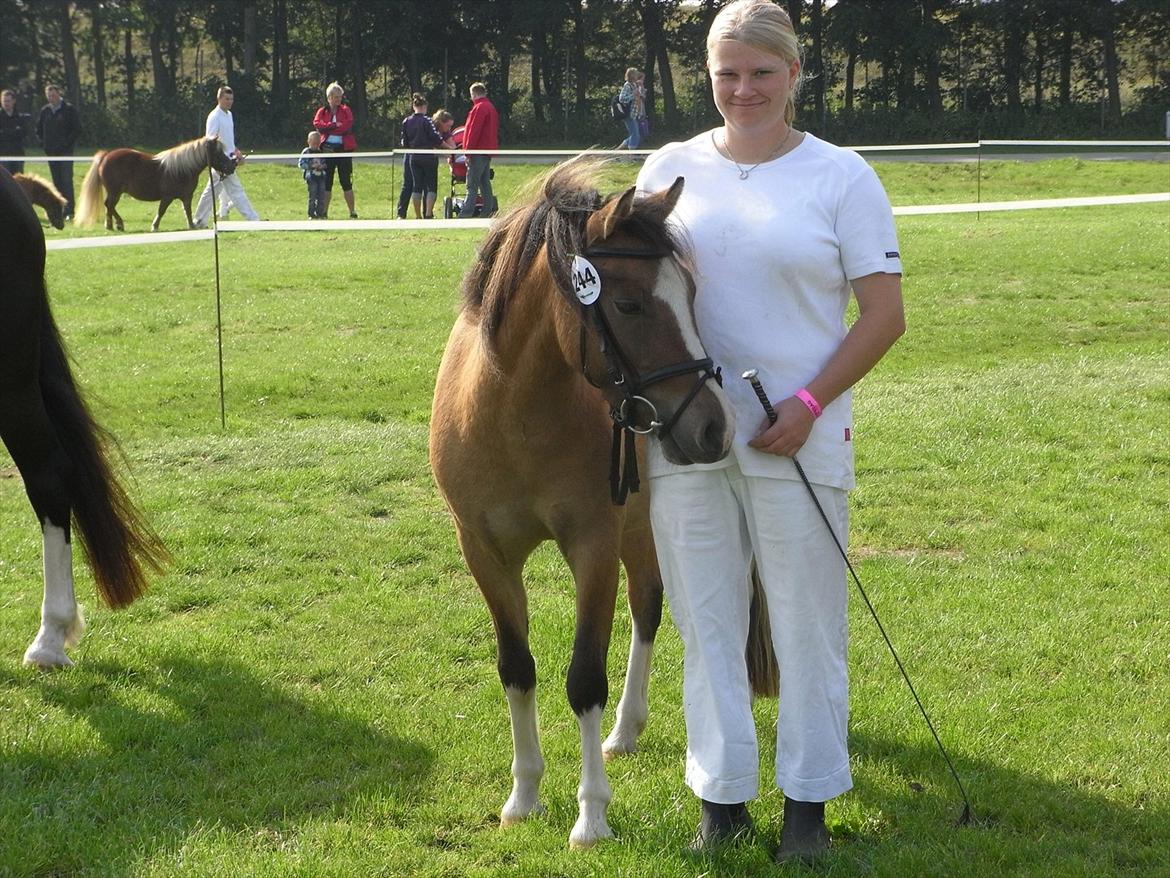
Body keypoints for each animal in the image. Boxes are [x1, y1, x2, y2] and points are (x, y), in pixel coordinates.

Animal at [74, 135, 235, 234]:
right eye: (218, 153)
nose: (231, 167)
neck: (182, 169)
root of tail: (106, 155)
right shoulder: (167, 197)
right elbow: (161, 211)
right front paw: (155, 227)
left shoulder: (186, 196)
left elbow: (188, 212)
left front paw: (191, 226)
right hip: (115, 191)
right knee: (109, 205)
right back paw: (117, 224)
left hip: (115, 192)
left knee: (109, 206)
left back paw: (111, 225)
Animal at [430, 161, 776, 847]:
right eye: (629, 304)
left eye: (691, 295)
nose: (714, 427)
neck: (510, 414)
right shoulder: (484, 554)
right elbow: (517, 667)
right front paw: (524, 796)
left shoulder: (592, 548)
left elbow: (584, 676)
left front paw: (591, 815)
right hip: (639, 528)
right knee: (647, 607)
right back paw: (625, 731)